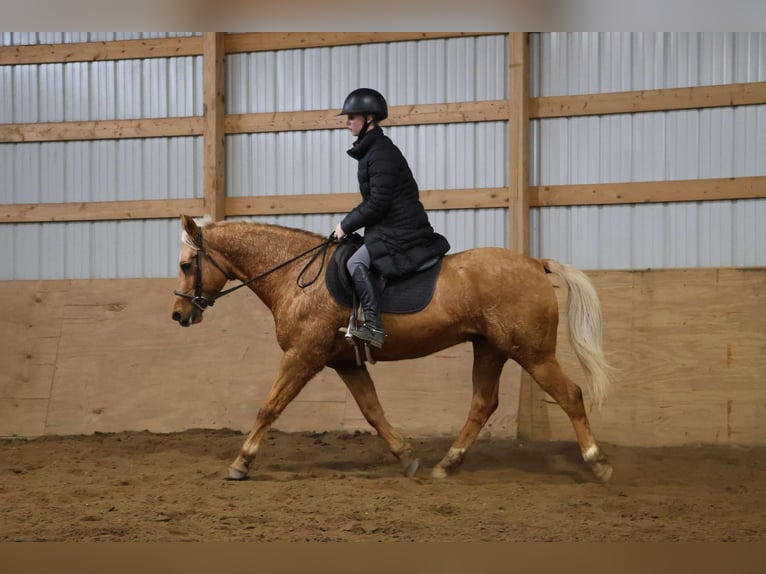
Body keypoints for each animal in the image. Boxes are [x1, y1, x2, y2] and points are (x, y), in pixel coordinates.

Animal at [171, 214, 616, 484]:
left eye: (185, 265)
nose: (178, 314)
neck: (296, 277)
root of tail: (535, 264)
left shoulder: (302, 356)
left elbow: (269, 406)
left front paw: (241, 462)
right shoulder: (345, 363)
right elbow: (372, 410)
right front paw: (406, 456)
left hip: (533, 354)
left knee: (570, 395)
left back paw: (597, 462)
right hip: (490, 349)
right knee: (482, 404)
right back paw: (447, 464)